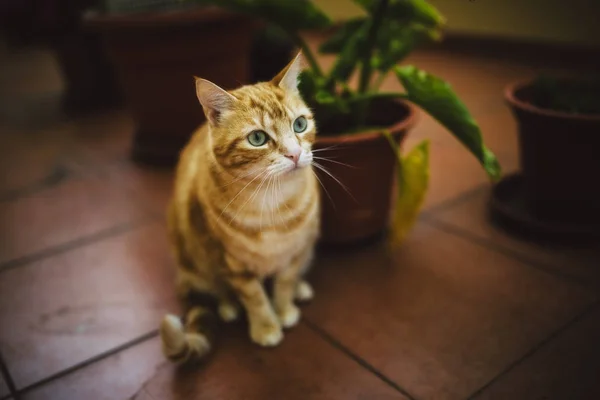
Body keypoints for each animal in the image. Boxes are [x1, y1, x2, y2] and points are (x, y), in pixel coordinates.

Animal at [158, 53, 318, 362]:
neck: (272, 203)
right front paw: (266, 328)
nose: (295, 154)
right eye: (257, 138)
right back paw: (228, 306)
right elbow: (255, 298)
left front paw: (285, 310)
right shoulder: (231, 262)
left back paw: (301, 288)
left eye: (299, 125)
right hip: (194, 258)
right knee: (215, 287)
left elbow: (284, 282)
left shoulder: (295, 250)